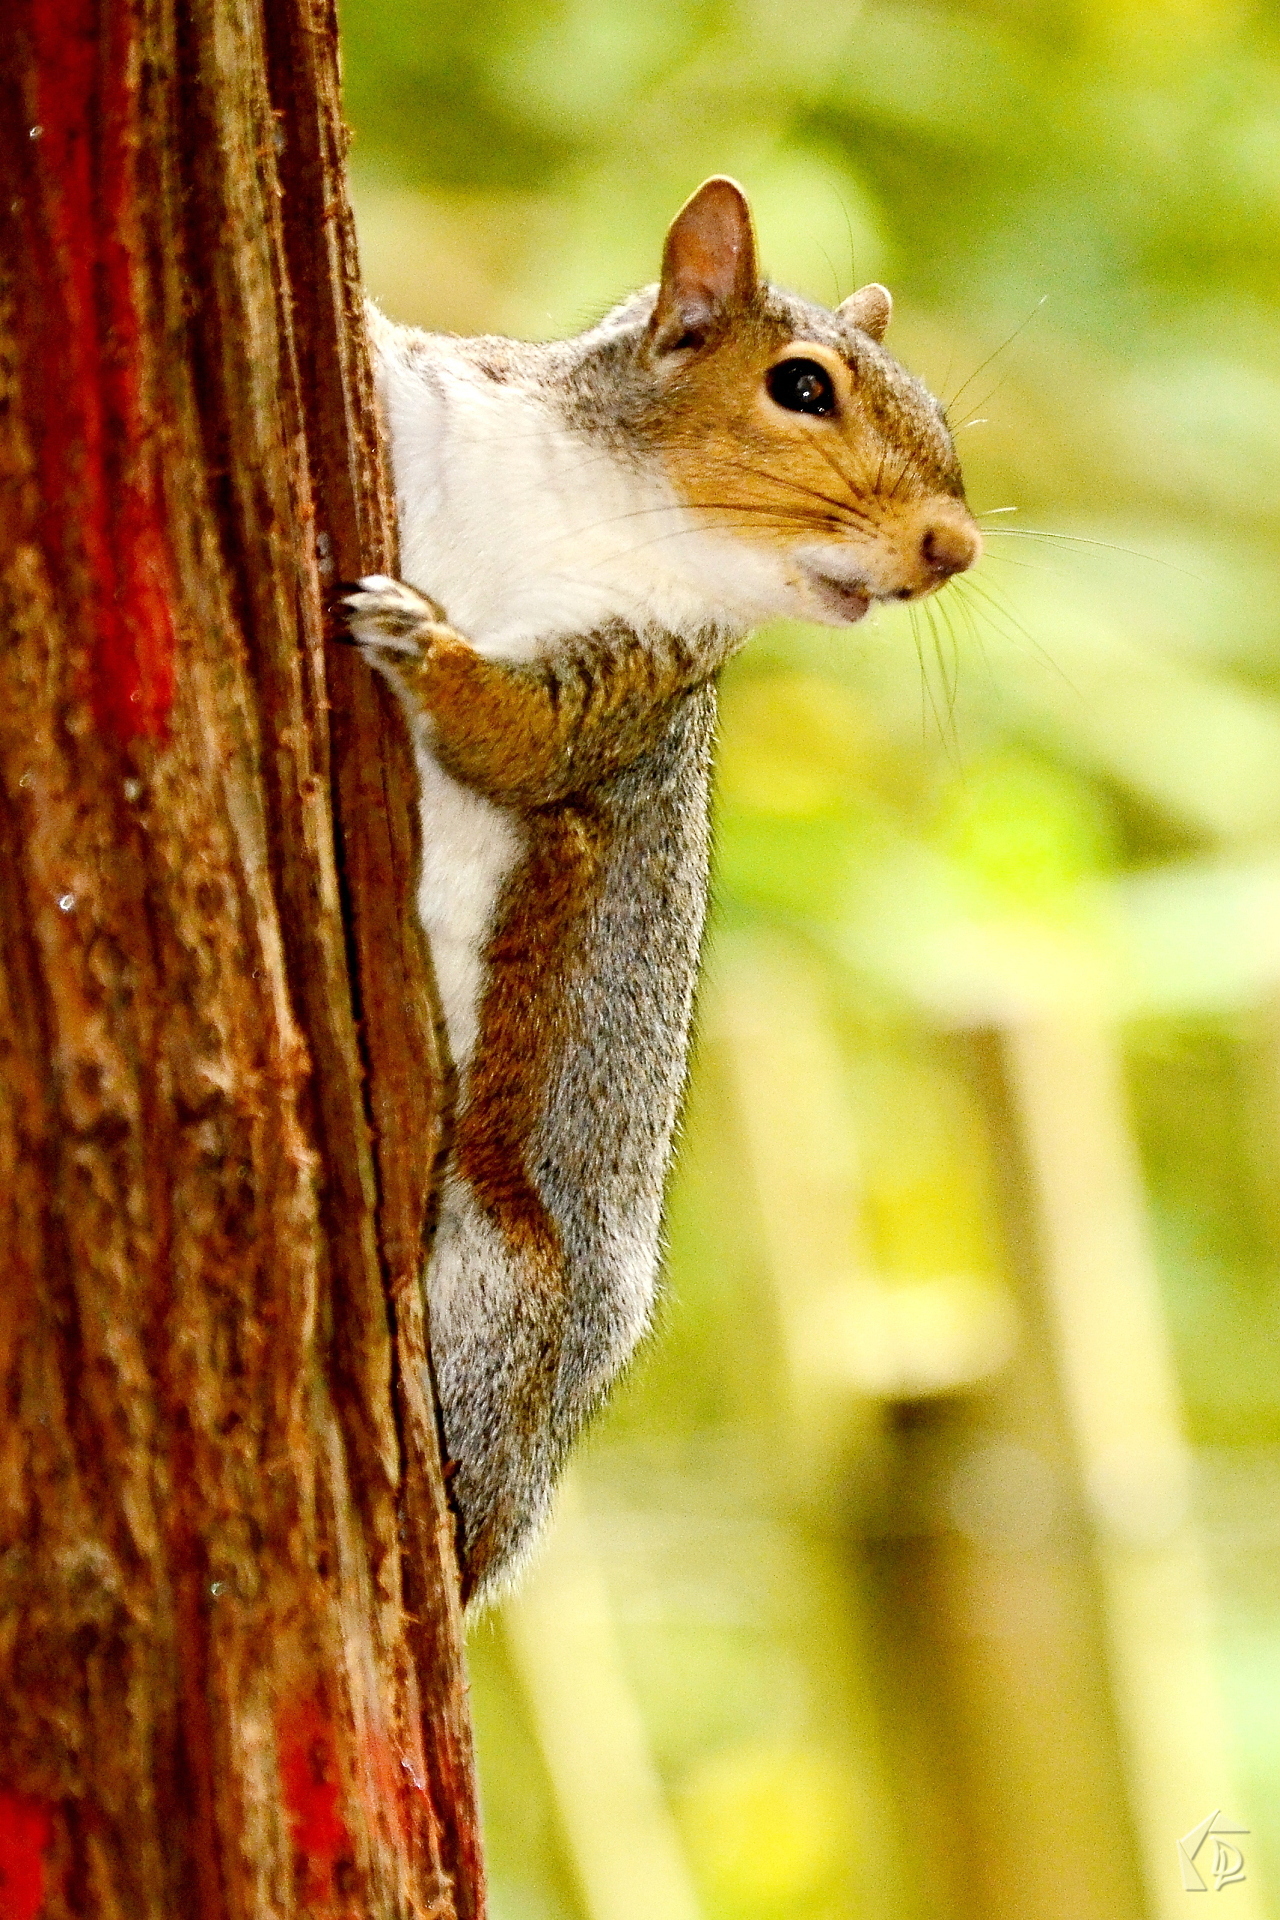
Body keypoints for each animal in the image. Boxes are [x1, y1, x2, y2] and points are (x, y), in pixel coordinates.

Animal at [340, 177, 980, 1605]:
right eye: (800, 387)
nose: (953, 548)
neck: (592, 497)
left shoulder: (634, 683)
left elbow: (518, 738)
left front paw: (423, 645)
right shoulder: (442, 408)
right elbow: (397, 357)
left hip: (508, 1290)